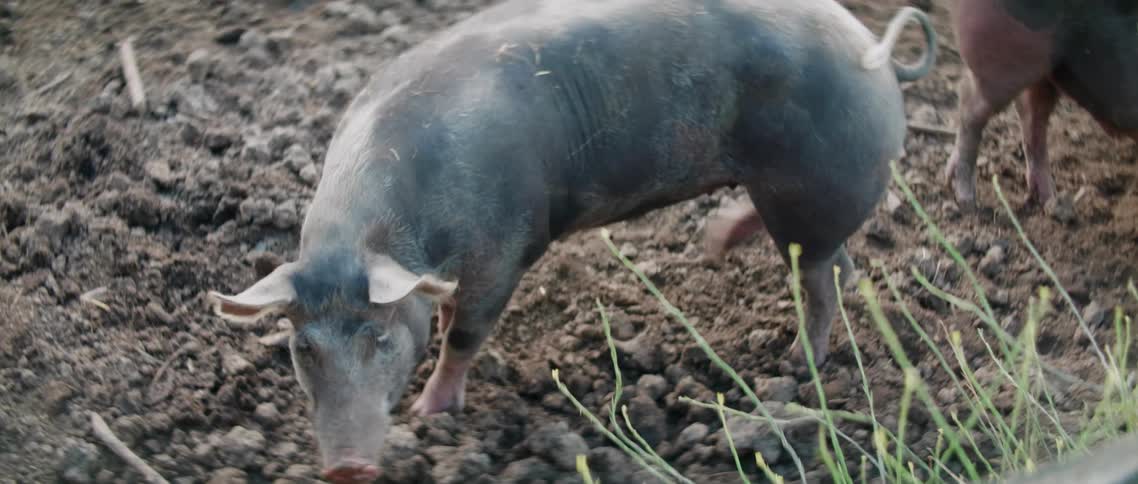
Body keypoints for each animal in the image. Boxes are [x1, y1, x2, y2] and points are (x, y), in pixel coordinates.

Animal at [206, 0, 936, 481]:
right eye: (302, 347)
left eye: (378, 337)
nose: (347, 468)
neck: (376, 235)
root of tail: (877, 56)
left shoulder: (506, 246)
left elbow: (465, 332)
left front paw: (430, 413)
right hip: (795, 198)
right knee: (832, 261)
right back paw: (715, 240)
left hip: (814, 189)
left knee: (820, 280)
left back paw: (797, 362)